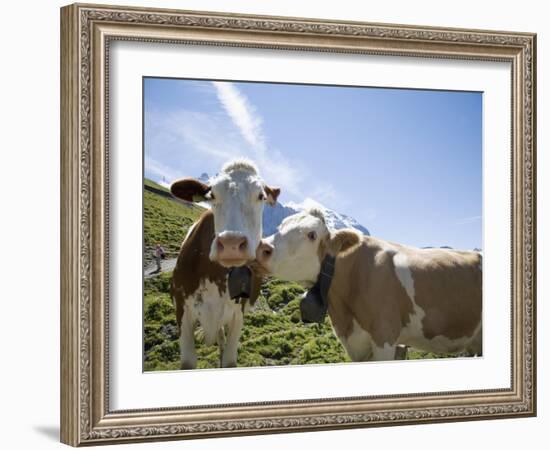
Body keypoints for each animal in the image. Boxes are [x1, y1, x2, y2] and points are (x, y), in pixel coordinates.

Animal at [169, 162, 282, 370]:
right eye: (212, 195)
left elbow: (229, 361)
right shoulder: (182, 310)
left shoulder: (238, 314)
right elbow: (188, 362)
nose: (231, 244)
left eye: (261, 196)